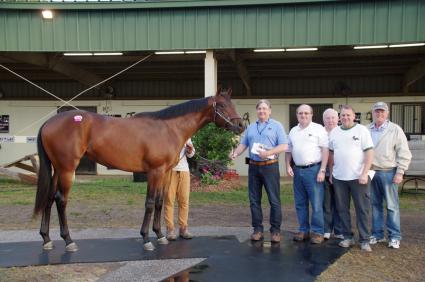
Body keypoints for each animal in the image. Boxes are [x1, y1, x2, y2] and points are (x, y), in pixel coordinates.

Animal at [33, 88, 243, 251]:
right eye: (221, 105)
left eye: (232, 104)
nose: (240, 125)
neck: (168, 128)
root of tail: (48, 123)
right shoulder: (155, 172)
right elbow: (149, 203)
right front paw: (146, 238)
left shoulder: (165, 172)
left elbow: (159, 202)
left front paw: (160, 235)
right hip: (67, 170)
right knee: (61, 200)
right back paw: (69, 241)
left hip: (57, 169)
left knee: (49, 199)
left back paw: (46, 239)